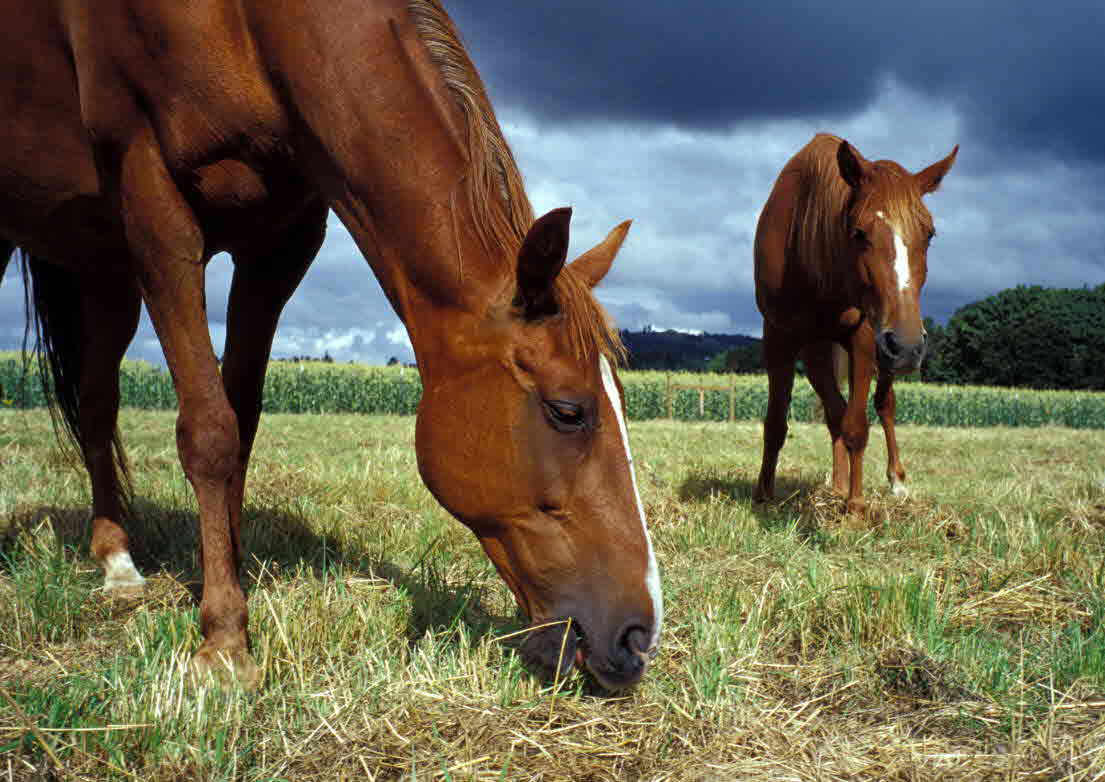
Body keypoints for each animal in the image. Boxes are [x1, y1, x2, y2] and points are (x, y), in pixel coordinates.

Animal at [0, 0, 658, 689]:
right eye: (567, 411)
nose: (638, 637)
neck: (251, 28)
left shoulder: (279, 244)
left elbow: (242, 423)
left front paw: (232, 572)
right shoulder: (155, 206)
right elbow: (209, 431)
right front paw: (224, 641)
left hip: (105, 269)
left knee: (96, 402)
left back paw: (116, 558)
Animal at [751, 133, 959, 512]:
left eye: (930, 234)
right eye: (859, 232)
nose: (908, 346)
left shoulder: (864, 338)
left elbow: (858, 426)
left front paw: (857, 507)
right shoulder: (778, 335)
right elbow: (777, 423)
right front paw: (764, 495)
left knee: (883, 405)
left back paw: (895, 481)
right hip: (823, 349)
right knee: (836, 411)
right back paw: (837, 485)